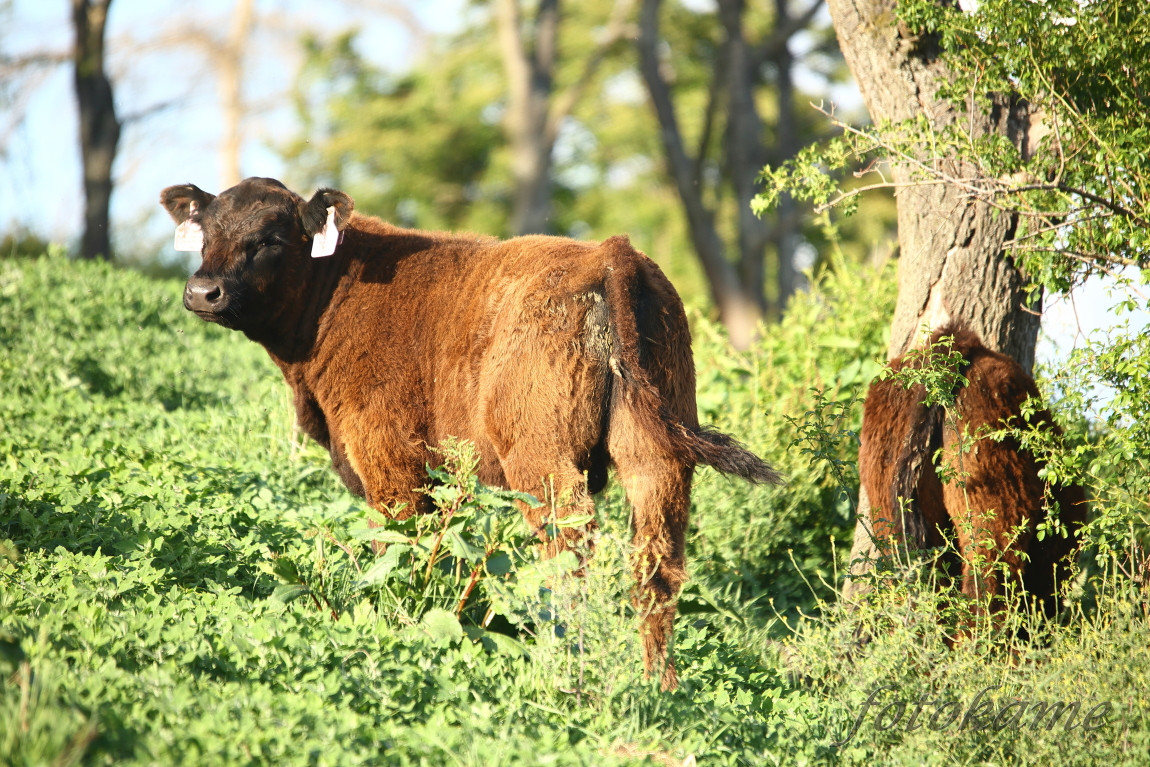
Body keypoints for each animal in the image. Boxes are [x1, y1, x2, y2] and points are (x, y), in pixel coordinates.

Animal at [162, 175, 782, 689]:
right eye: (206, 232)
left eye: (270, 238)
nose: (203, 292)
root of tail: (609, 252)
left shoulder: (389, 463)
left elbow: (399, 549)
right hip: (655, 456)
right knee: (656, 566)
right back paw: (661, 688)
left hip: (544, 459)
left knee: (568, 552)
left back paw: (565, 672)